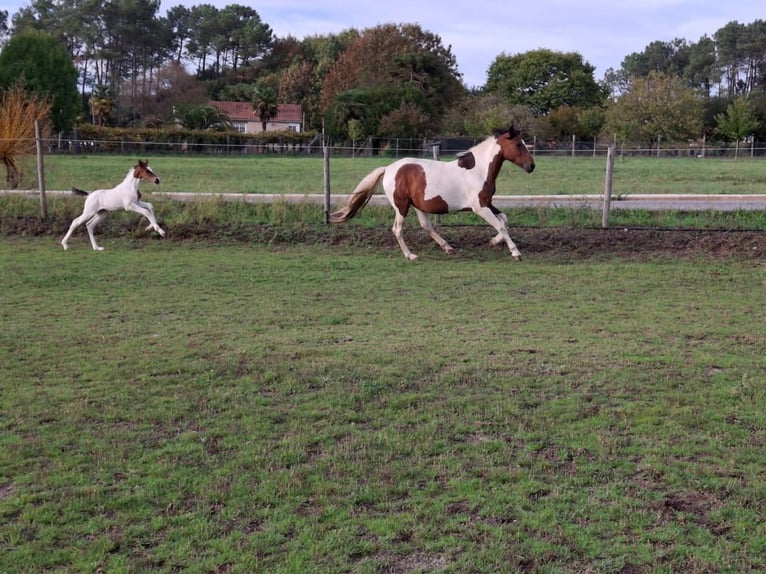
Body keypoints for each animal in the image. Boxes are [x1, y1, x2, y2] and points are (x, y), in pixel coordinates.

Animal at [330, 125, 535, 261]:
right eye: (518, 144)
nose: (531, 166)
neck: (478, 170)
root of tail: (388, 169)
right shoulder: (480, 207)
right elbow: (500, 225)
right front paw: (516, 252)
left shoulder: (487, 202)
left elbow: (504, 220)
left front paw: (493, 242)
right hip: (401, 206)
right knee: (397, 229)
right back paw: (411, 255)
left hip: (418, 206)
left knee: (426, 226)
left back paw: (448, 248)